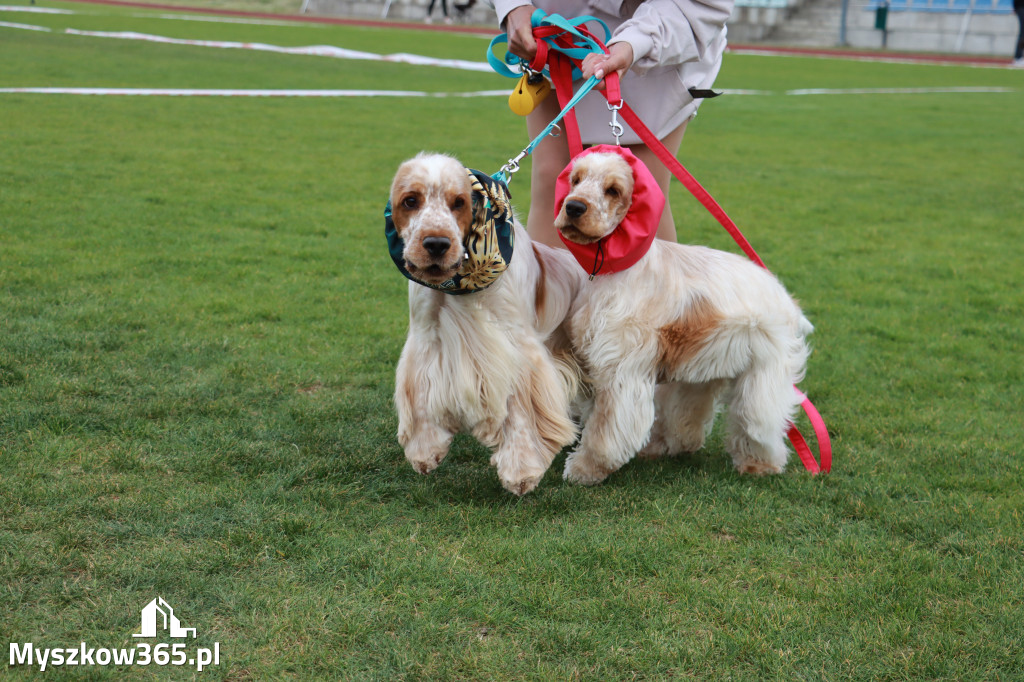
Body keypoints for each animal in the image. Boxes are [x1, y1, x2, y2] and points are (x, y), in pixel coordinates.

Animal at [387, 152, 585, 493]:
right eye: (410, 200)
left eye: (459, 202)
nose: (436, 244)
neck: (459, 285)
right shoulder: (427, 336)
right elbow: (423, 392)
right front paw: (425, 451)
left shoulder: (517, 347)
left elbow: (520, 410)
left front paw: (521, 471)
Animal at [557, 150, 811, 483]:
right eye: (576, 180)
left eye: (613, 190)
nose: (573, 206)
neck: (609, 270)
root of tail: (786, 297)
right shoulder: (592, 361)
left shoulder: (620, 371)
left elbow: (604, 432)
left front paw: (583, 470)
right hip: (704, 370)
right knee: (688, 416)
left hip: (761, 379)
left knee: (760, 424)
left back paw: (760, 464)